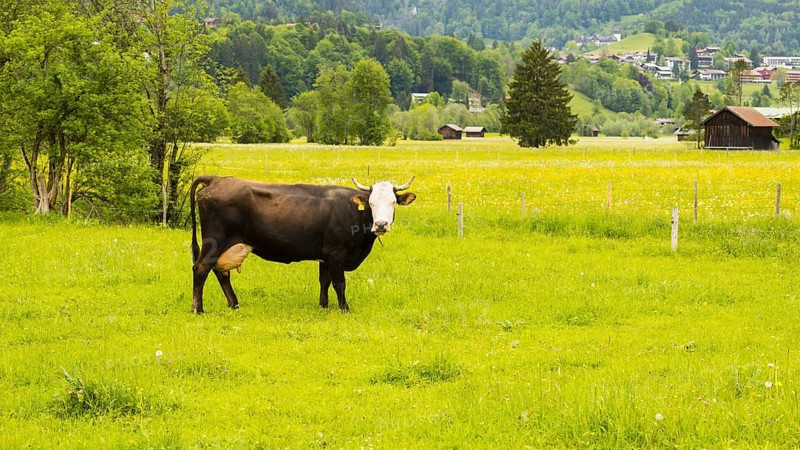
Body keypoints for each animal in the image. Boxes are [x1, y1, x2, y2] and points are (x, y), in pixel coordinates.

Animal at [189, 175, 416, 313]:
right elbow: (339, 283)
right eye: (370, 203)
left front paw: (323, 306)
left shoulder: (325, 256)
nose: (381, 224)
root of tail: (216, 179)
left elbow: (324, 281)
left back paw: (234, 303)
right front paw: (344, 308)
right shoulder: (336, 254)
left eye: (393, 202)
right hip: (214, 242)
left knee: (221, 273)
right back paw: (198, 308)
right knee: (201, 269)